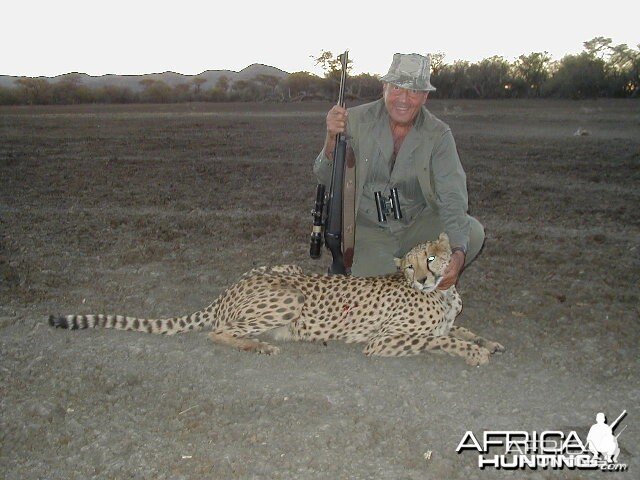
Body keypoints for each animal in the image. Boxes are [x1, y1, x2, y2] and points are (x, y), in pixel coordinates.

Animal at [48, 234, 504, 366]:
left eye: (431, 258)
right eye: (410, 267)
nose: (424, 279)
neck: (442, 293)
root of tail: (232, 285)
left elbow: (459, 329)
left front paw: (487, 341)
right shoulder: (382, 342)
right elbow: (440, 338)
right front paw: (474, 353)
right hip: (289, 296)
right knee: (216, 332)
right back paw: (257, 345)